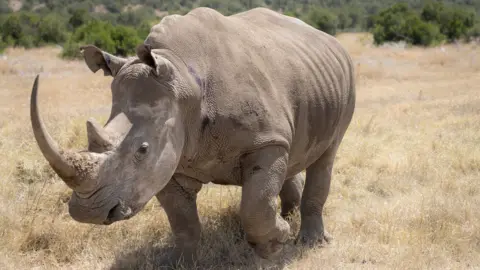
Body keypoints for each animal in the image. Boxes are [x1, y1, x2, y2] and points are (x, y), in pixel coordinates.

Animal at [30, 7, 354, 264]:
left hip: (343, 82)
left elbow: (255, 205)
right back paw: (289, 215)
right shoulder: (171, 158)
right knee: (295, 151)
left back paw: (311, 242)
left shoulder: (265, 141)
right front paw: (180, 263)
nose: (88, 212)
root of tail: (328, 38)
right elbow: (182, 220)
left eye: (142, 150)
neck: (182, 80)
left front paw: (275, 247)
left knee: (326, 155)